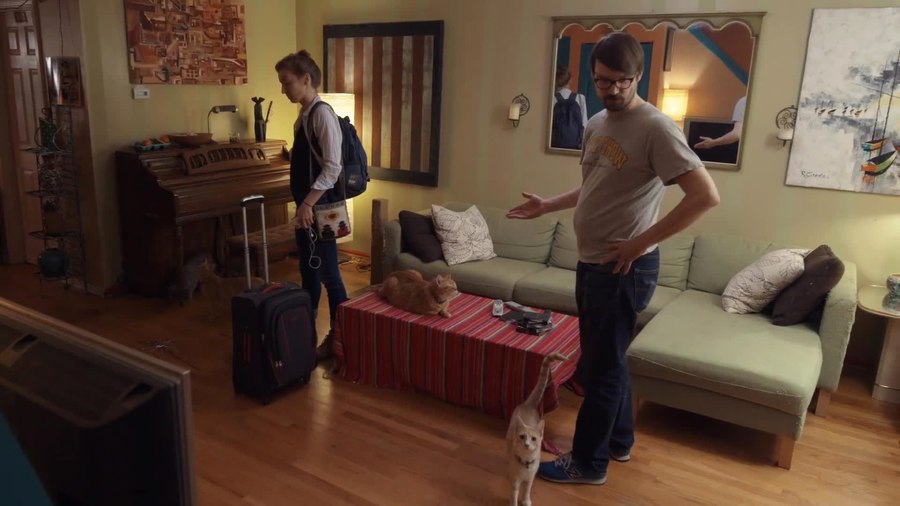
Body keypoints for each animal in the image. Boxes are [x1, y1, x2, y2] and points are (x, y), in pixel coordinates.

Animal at [506, 351, 567, 506]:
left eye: (533, 439)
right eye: (522, 436)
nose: (527, 444)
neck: (526, 463)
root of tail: (529, 404)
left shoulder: (530, 478)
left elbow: (527, 489)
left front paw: (526, 500)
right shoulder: (515, 481)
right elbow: (514, 493)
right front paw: (514, 502)